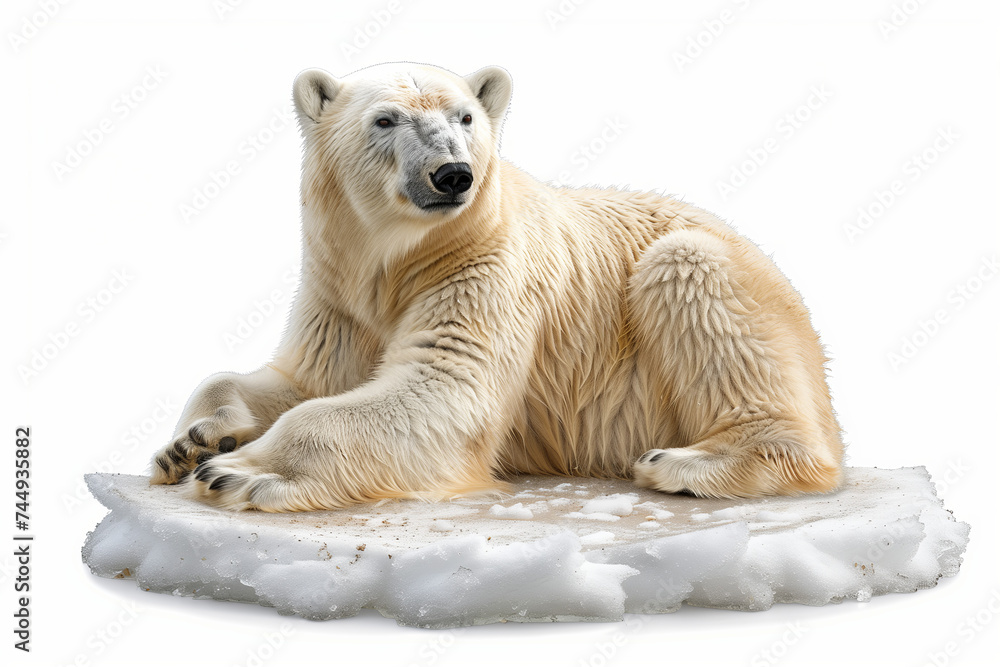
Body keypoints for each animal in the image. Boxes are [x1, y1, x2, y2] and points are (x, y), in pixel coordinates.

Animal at [149, 63, 844, 512]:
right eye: (385, 119)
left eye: (466, 116)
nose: (453, 174)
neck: (400, 259)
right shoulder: (339, 293)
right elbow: (305, 379)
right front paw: (191, 444)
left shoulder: (484, 269)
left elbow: (443, 389)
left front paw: (236, 472)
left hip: (734, 285)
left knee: (693, 274)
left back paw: (683, 463)